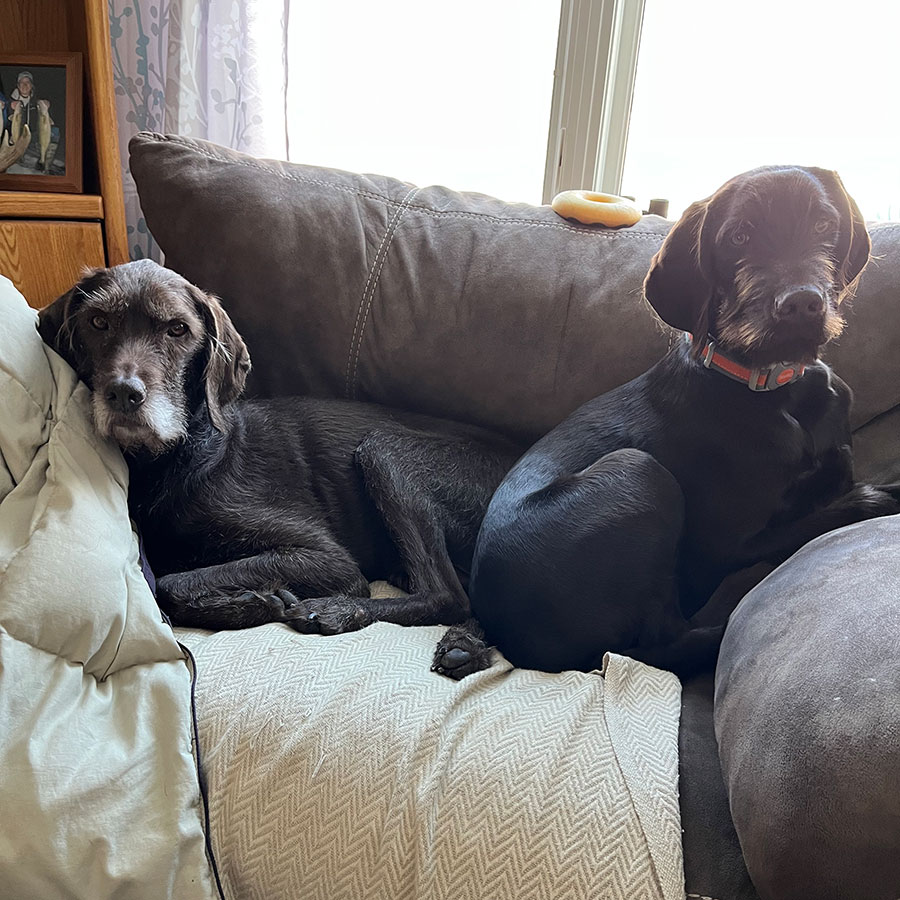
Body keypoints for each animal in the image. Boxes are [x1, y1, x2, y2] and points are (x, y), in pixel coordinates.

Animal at [40, 260, 520, 676]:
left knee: (446, 595)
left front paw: (254, 602)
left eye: (178, 329)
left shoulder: (325, 556)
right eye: (98, 322)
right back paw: (465, 645)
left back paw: (338, 610)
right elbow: (167, 582)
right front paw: (249, 601)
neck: (177, 459)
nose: (124, 394)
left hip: (385, 450)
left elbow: (171, 583)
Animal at [460, 167, 896, 676]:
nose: (801, 304)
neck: (773, 388)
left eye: (824, 225)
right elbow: (805, 521)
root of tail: (520, 645)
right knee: (664, 640)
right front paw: (869, 501)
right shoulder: (720, 548)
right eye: (739, 237)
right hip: (638, 471)